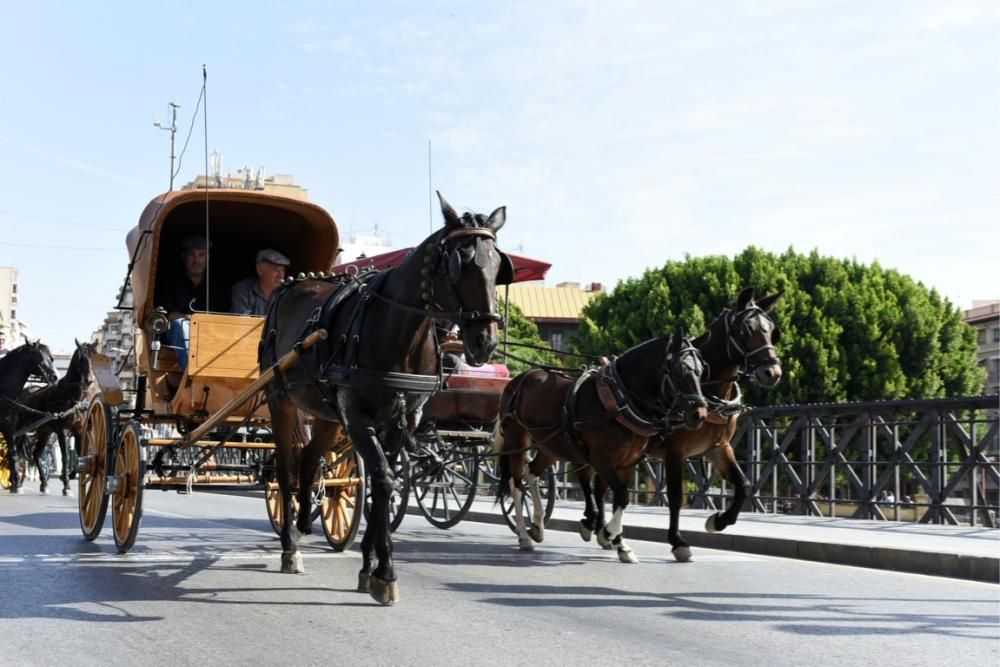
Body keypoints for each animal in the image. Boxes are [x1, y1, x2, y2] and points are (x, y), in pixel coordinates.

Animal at [0, 342, 58, 494]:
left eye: (52, 358)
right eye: (41, 358)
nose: (55, 377)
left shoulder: (9, 427)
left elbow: (13, 454)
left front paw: (15, 484)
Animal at [17, 340, 94, 496]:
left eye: (93, 357)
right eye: (81, 358)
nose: (89, 380)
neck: (72, 399)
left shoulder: (79, 432)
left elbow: (79, 455)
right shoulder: (62, 432)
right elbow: (65, 457)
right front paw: (67, 485)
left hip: (44, 432)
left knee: (36, 454)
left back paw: (44, 483)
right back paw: (18, 482)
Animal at [262, 192, 512, 604]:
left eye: (498, 266)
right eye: (460, 263)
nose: (485, 341)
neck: (399, 334)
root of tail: (292, 286)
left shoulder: (399, 422)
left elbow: (386, 485)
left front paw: (371, 567)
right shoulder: (358, 417)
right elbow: (381, 479)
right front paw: (386, 570)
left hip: (328, 416)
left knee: (310, 461)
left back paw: (301, 523)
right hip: (280, 399)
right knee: (284, 468)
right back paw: (290, 546)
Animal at [496, 332, 708, 568]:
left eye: (701, 370)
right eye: (680, 370)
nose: (699, 414)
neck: (619, 401)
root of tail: (521, 378)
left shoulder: (626, 463)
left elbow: (618, 499)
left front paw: (619, 544)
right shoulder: (601, 460)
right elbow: (621, 495)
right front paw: (608, 533)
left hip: (550, 445)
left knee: (531, 472)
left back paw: (537, 525)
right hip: (516, 441)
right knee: (516, 485)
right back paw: (524, 536)